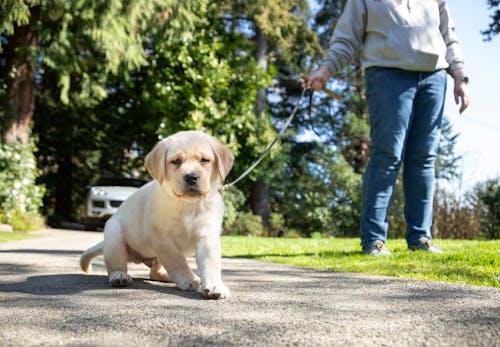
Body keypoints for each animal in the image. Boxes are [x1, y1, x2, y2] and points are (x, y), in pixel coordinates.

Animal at [79, 130, 233, 300]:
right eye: (176, 161)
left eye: (204, 160)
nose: (191, 177)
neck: (186, 204)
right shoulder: (162, 238)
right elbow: (177, 260)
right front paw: (188, 279)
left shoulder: (206, 235)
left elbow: (211, 263)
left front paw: (215, 285)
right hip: (114, 237)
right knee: (115, 265)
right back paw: (119, 277)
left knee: (155, 271)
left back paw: (167, 276)